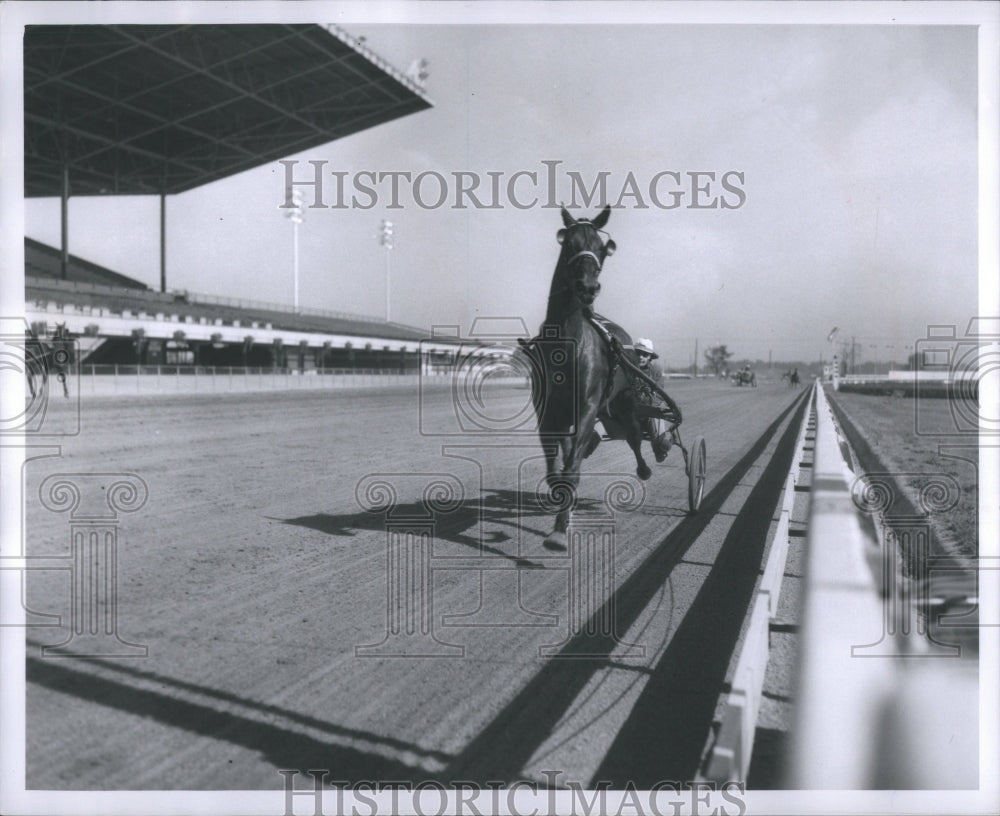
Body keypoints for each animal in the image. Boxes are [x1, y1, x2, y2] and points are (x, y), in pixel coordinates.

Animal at [524, 206, 656, 548]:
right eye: (569, 243)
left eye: (601, 248)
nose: (587, 287)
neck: (565, 346)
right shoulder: (548, 410)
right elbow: (555, 466)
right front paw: (560, 500)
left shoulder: (588, 404)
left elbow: (572, 468)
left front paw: (559, 531)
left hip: (625, 399)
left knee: (634, 434)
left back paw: (644, 467)